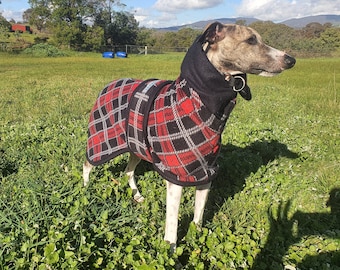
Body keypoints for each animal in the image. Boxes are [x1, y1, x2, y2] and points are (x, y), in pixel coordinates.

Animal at [82, 21, 294, 251]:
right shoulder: (176, 179)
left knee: (128, 171)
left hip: (135, 146)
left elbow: (198, 215)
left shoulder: (205, 174)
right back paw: (85, 189)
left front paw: (196, 237)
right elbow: (172, 224)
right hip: (101, 142)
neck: (200, 102)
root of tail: (109, 84)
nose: (291, 60)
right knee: (87, 163)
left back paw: (137, 195)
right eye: (251, 40)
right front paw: (171, 249)